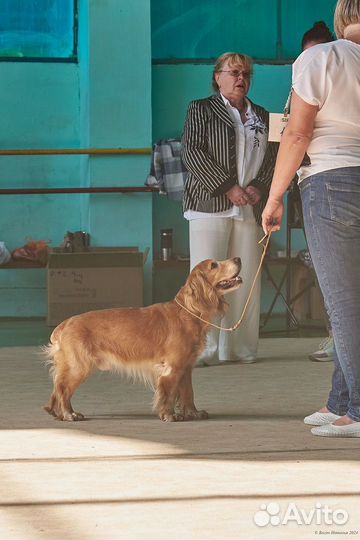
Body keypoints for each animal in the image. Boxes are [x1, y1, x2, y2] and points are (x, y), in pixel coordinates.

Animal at [44, 258, 242, 422]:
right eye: (214, 265)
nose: (238, 258)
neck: (188, 312)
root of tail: (64, 324)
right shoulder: (172, 368)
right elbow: (168, 394)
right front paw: (169, 415)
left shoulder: (186, 368)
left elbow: (188, 393)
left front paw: (193, 413)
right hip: (79, 367)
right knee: (63, 389)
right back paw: (69, 414)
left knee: (58, 388)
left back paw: (60, 413)